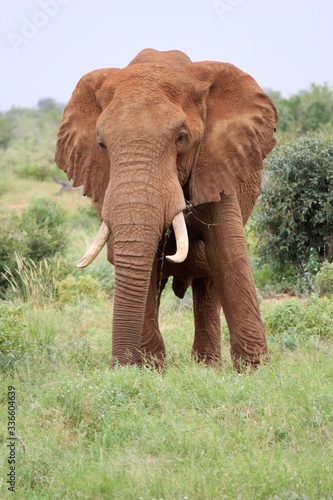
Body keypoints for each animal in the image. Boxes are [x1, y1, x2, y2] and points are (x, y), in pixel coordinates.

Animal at [55, 47, 278, 372]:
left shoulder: (217, 164)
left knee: (208, 283)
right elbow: (140, 263)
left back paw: (207, 366)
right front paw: (150, 369)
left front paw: (254, 371)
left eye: (181, 138)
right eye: (101, 144)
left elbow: (229, 253)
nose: (118, 367)